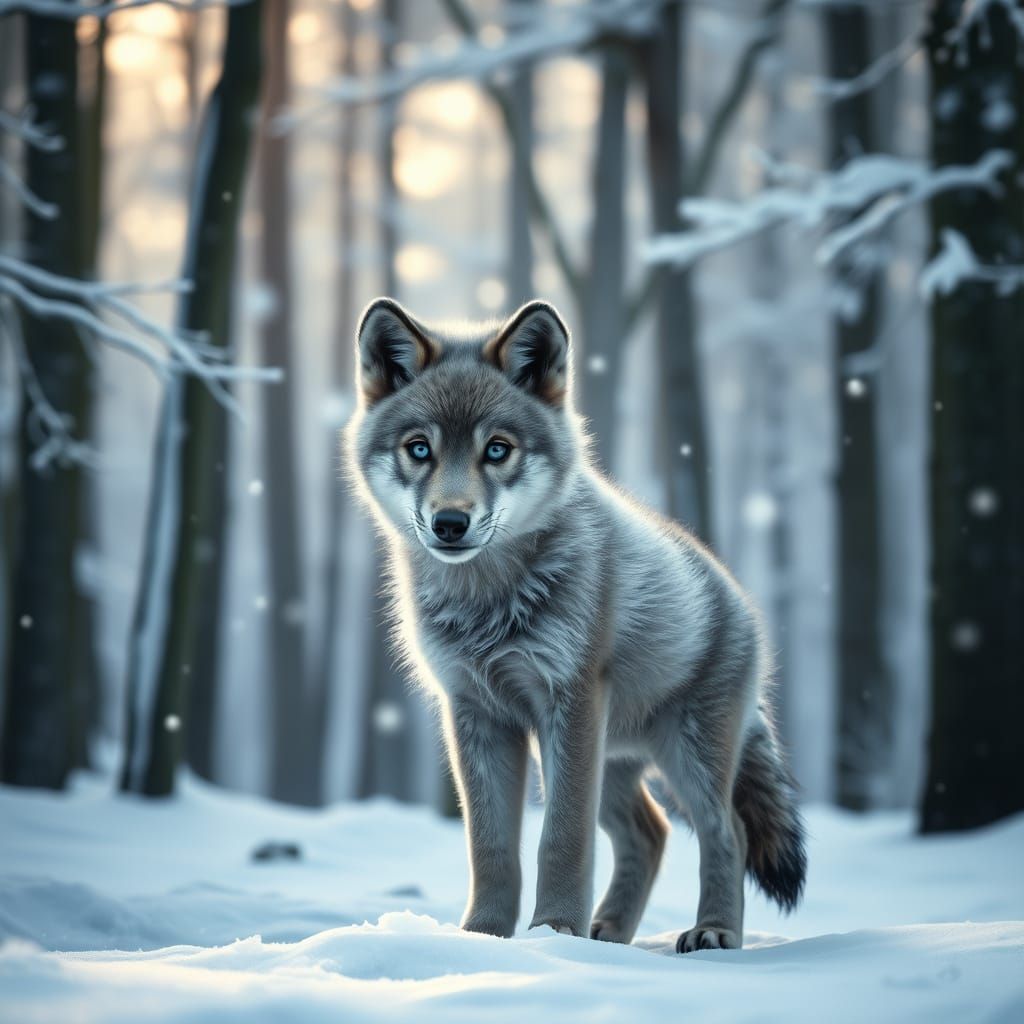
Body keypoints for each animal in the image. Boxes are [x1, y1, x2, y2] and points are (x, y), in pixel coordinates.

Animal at [346, 296, 806, 951]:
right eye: (419, 449)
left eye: (497, 449)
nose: (450, 523)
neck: (486, 607)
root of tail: (737, 594)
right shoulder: (475, 715)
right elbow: (491, 848)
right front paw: (486, 938)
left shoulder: (570, 702)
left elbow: (560, 840)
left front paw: (554, 932)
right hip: (609, 764)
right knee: (653, 832)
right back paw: (609, 934)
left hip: (680, 757)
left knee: (727, 832)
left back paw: (713, 932)